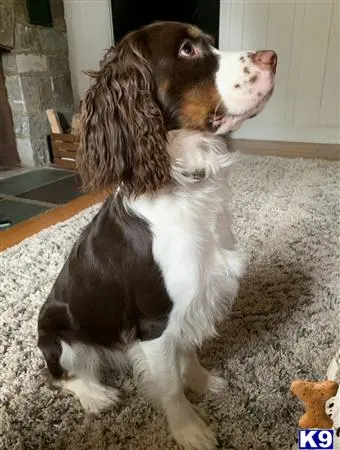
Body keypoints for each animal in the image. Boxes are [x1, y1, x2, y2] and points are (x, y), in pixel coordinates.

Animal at [37, 20, 276, 446]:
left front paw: (203, 382)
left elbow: (189, 353)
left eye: (210, 42)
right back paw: (96, 395)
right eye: (186, 50)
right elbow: (170, 387)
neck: (183, 183)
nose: (273, 57)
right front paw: (189, 429)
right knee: (61, 375)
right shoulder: (155, 321)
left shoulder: (193, 300)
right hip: (60, 338)